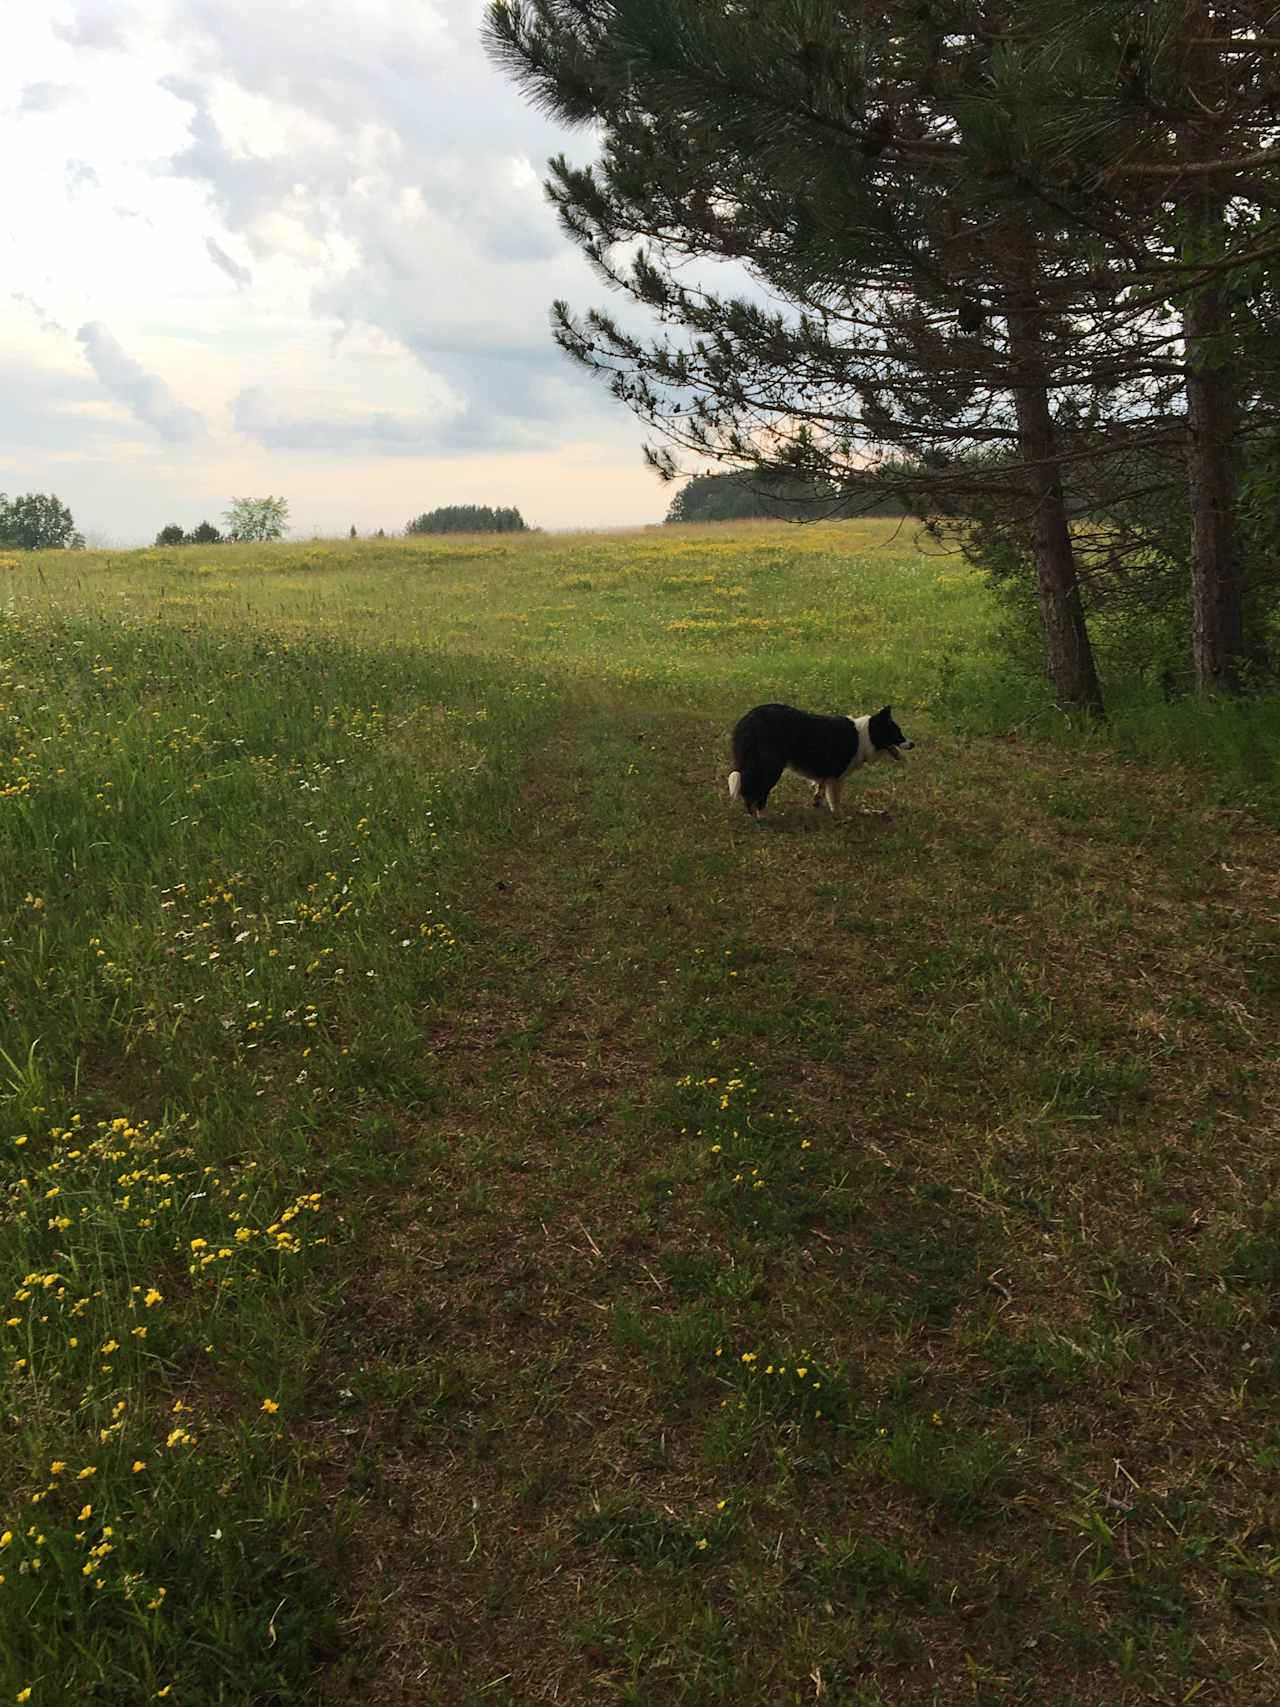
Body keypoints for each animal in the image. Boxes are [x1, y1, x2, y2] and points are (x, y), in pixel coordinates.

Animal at [727, 699, 914, 819]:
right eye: (896, 732)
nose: (912, 744)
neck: (865, 736)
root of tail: (747, 720)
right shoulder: (837, 776)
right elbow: (835, 798)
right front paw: (840, 816)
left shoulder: (827, 774)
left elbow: (821, 787)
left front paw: (817, 801)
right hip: (771, 765)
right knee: (754, 787)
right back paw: (760, 815)